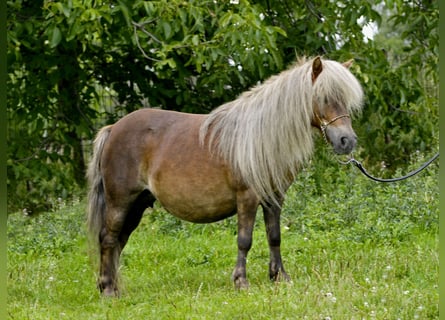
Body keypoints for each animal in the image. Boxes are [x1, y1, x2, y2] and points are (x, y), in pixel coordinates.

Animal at [86, 56, 360, 296]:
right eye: (323, 98)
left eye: (346, 100)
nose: (347, 141)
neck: (260, 137)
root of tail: (113, 129)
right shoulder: (247, 198)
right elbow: (244, 240)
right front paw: (241, 281)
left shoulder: (273, 198)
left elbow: (274, 236)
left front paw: (280, 277)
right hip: (120, 202)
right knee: (108, 239)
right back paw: (108, 290)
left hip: (137, 205)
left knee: (118, 241)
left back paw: (111, 286)